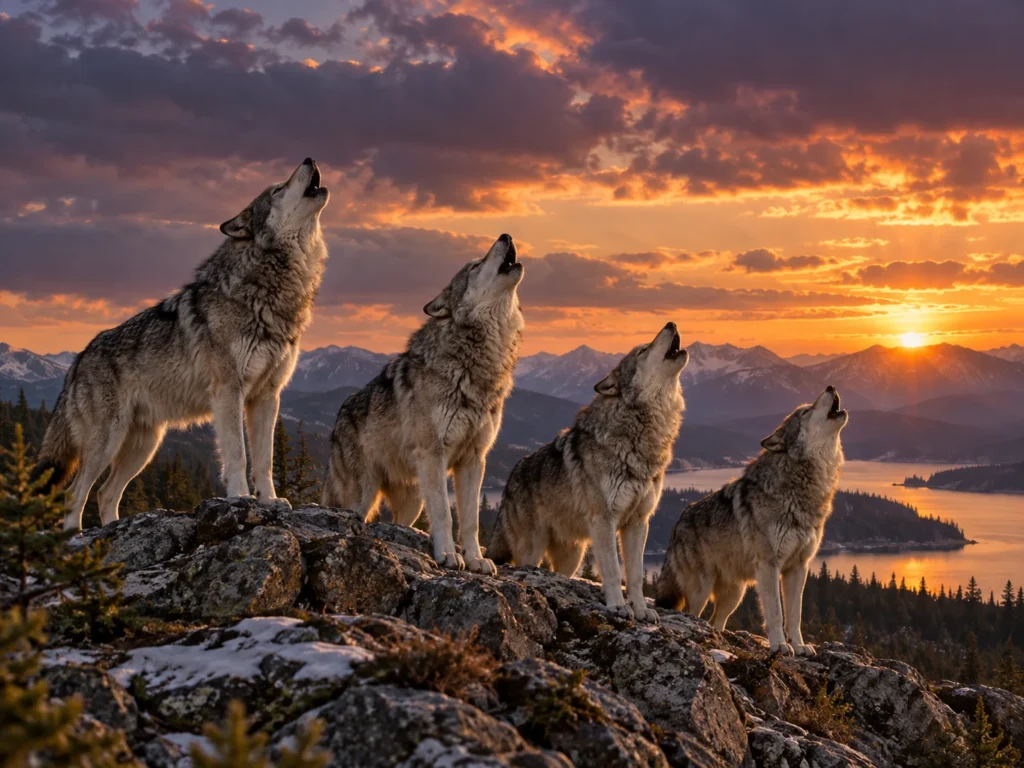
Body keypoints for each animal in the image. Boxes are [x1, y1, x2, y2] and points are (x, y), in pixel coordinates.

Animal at [37, 158, 330, 531]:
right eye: (278, 189)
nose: (309, 159)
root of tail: (77, 360)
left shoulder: (267, 396)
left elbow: (264, 460)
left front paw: (269, 500)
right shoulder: (228, 392)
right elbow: (238, 454)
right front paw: (241, 498)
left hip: (144, 446)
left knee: (105, 493)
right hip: (108, 441)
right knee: (74, 493)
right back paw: (76, 536)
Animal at [322, 234, 524, 573]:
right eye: (475, 266)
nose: (506, 236)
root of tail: (338, 417)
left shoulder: (474, 459)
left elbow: (470, 521)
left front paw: (476, 559)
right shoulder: (434, 454)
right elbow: (444, 514)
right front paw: (448, 555)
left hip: (414, 501)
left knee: (401, 522)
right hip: (363, 495)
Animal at [488, 323, 688, 621]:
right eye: (643, 350)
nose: (671, 324)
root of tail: (511, 478)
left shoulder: (638, 522)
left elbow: (635, 575)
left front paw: (641, 611)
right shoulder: (605, 520)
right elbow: (614, 571)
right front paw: (617, 605)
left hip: (572, 558)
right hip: (532, 550)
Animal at [655, 387, 848, 655]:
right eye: (806, 411)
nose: (830, 387)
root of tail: (678, 524)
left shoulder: (798, 567)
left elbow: (795, 614)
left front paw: (799, 647)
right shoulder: (769, 565)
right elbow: (776, 612)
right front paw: (780, 646)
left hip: (734, 595)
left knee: (716, 622)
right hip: (701, 590)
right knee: (693, 615)